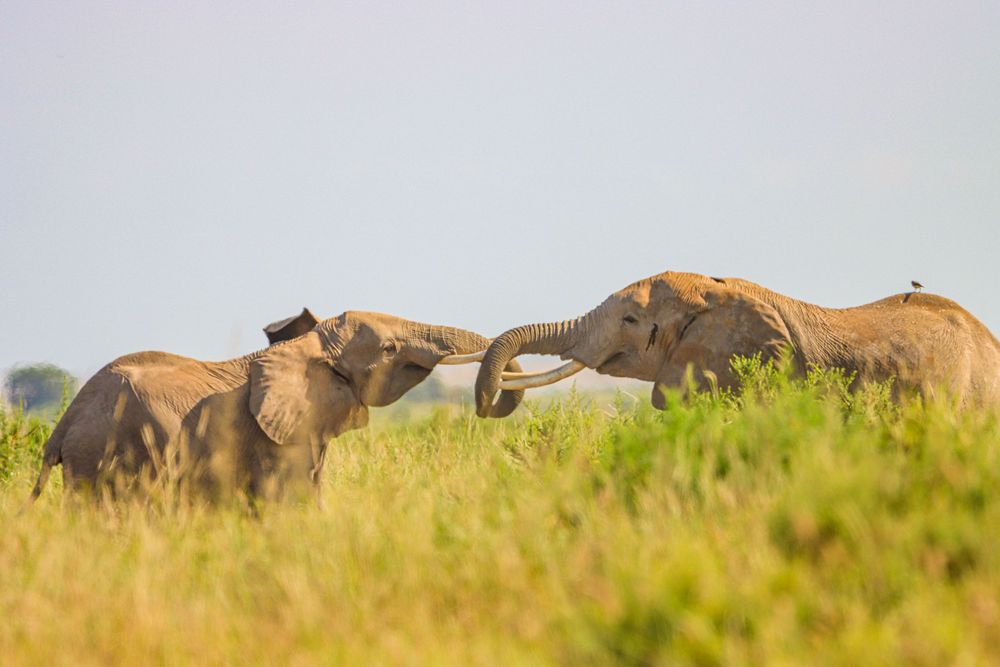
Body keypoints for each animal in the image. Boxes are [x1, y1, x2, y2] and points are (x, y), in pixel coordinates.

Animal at [30, 311, 524, 502]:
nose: (484, 400)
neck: (310, 346)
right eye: (388, 349)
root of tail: (63, 424)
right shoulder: (275, 438)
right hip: (105, 457)